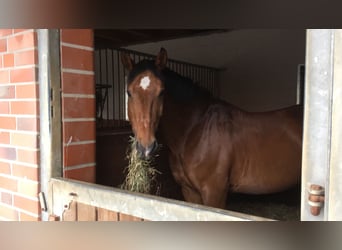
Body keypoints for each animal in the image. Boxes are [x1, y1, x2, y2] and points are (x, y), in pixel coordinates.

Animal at [121, 47, 304, 208]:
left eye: (162, 92)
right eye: (129, 92)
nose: (146, 148)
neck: (194, 131)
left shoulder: (214, 192)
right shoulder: (189, 191)